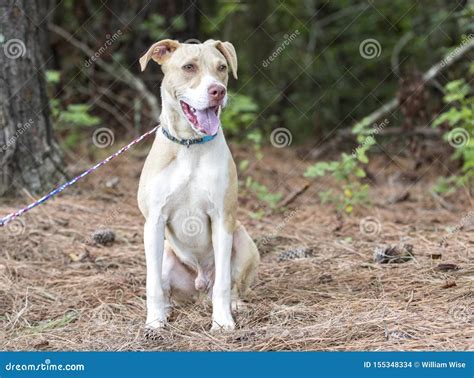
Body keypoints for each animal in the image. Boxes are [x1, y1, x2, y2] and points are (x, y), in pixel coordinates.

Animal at [138, 39, 260, 332]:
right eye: (189, 67)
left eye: (222, 68)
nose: (218, 91)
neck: (189, 145)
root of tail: (200, 284)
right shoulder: (154, 221)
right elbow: (152, 284)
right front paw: (154, 322)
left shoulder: (222, 218)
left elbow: (224, 284)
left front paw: (222, 321)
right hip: (166, 254)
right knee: (166, 286)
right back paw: (167, 309)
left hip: (244, 241)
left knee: (229, 285)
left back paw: (233, 305)